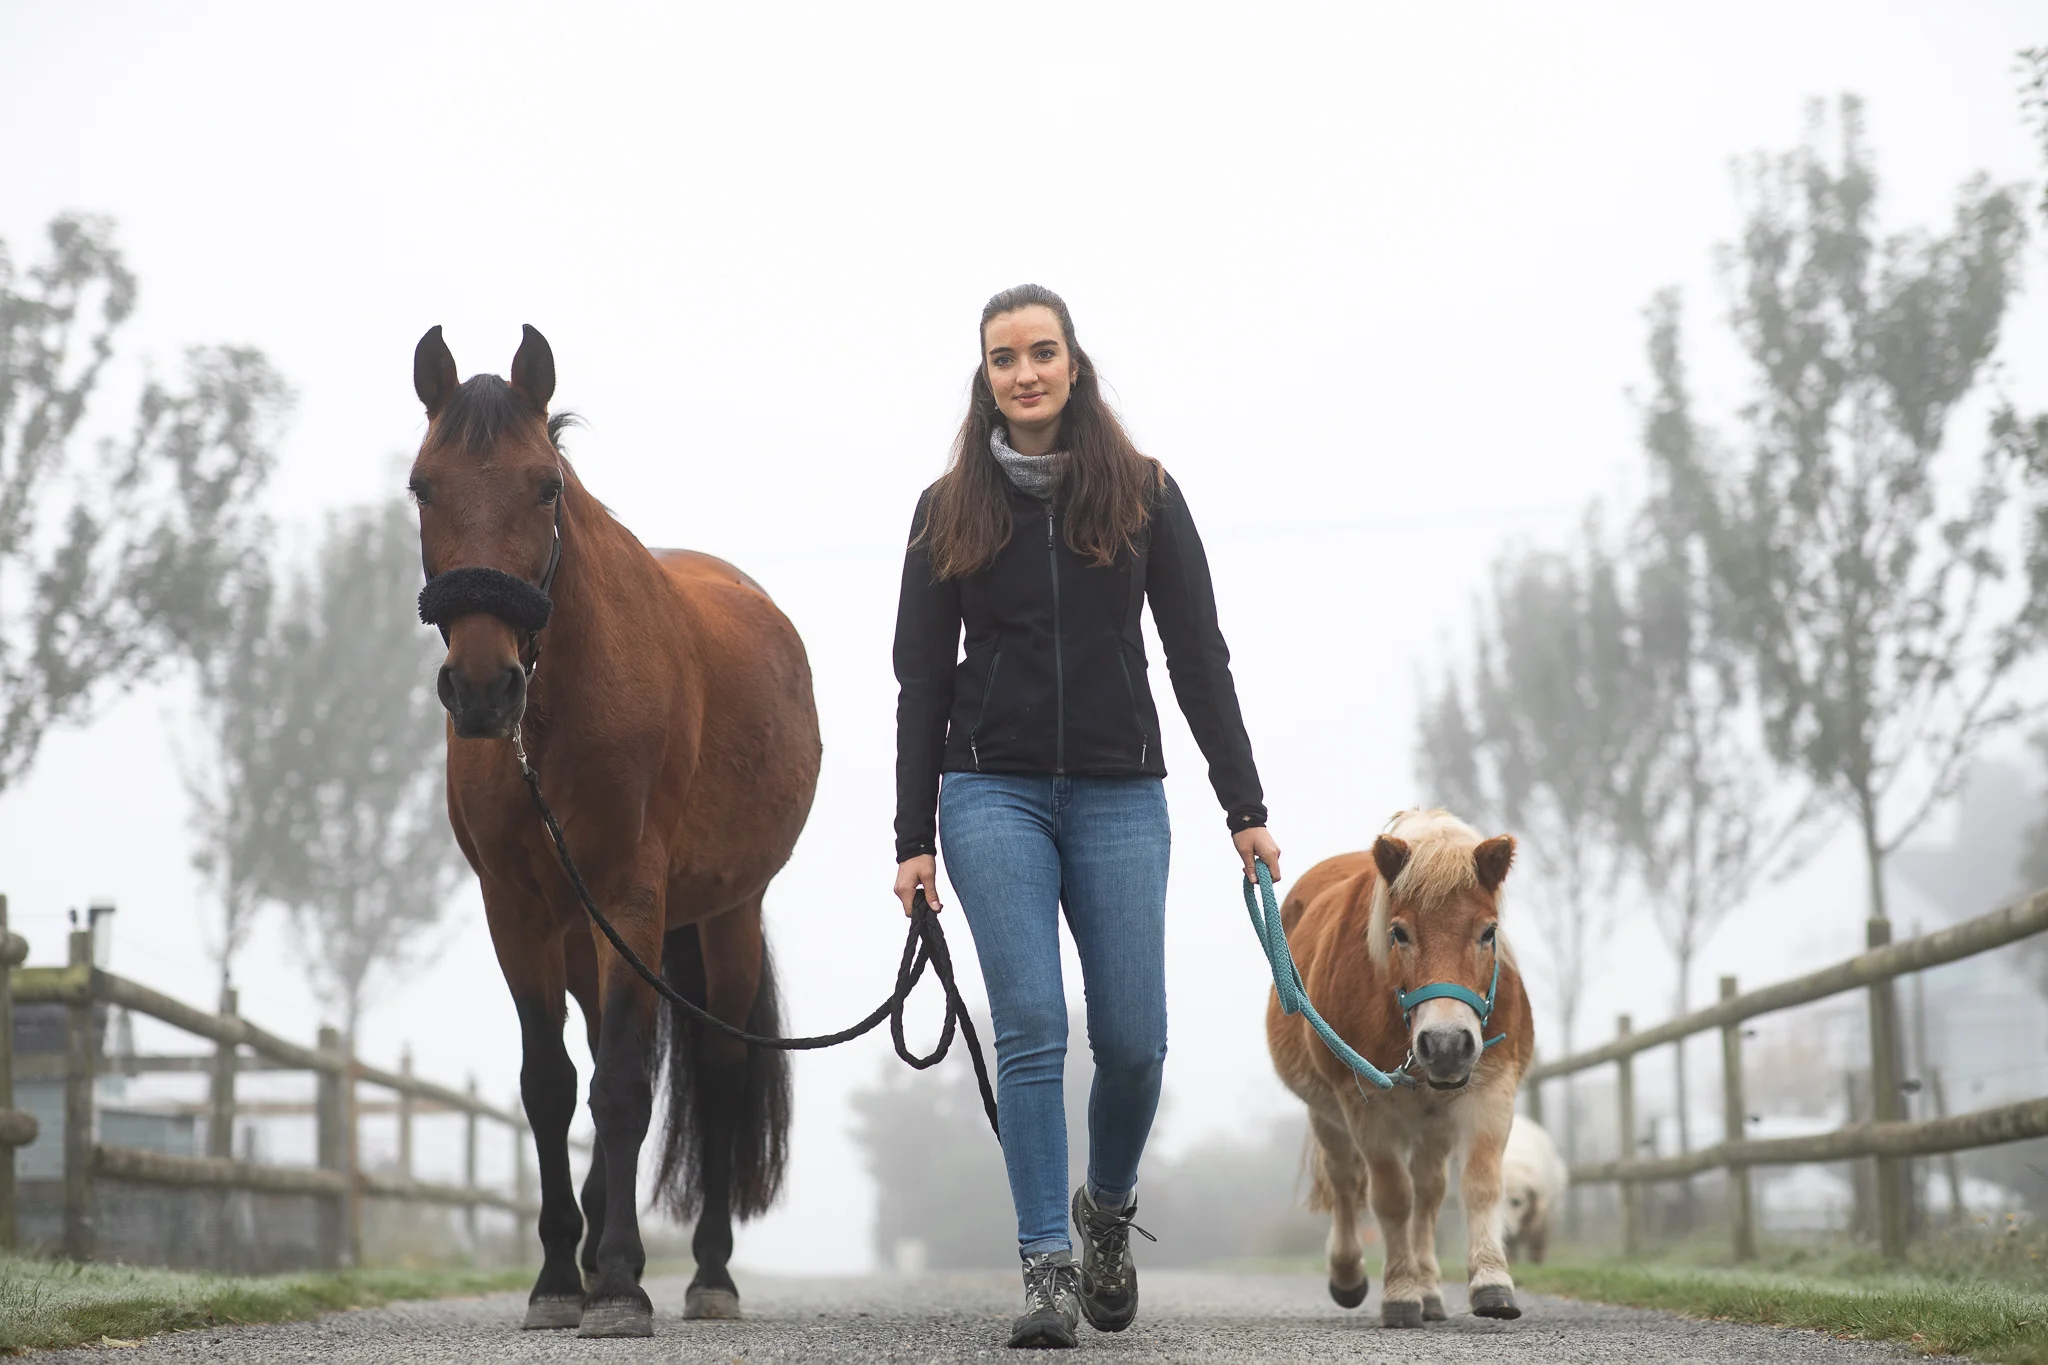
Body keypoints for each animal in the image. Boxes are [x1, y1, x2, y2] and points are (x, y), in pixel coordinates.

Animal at [407, 325, 823, 1342]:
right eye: (424, 486)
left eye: (544, 486)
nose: (485, 688)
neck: (557, 713)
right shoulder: (519, 913)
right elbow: (553, 1086)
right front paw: (563, 1275)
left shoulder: (631, 896)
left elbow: (627, 1086)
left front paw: (624, 1285)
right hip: (584, 934)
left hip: (724, 917)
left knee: (715, 1071)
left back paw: (708, 1272)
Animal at [1261, 810, 1540, 1326]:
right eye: (1399, 933)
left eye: (1488, 932)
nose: (1447, 1044)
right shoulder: (1366, 1106)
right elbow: (1391, 1199)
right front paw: (1400, 1293)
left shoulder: (1490, 1091)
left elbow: (1480, 1186)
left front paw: (1491, 1283)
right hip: (1328, 1115)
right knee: (1346, 1181)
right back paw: (1350, 1273)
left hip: (1433, 1124)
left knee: (1428, 1195)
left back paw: (1430, 1289)